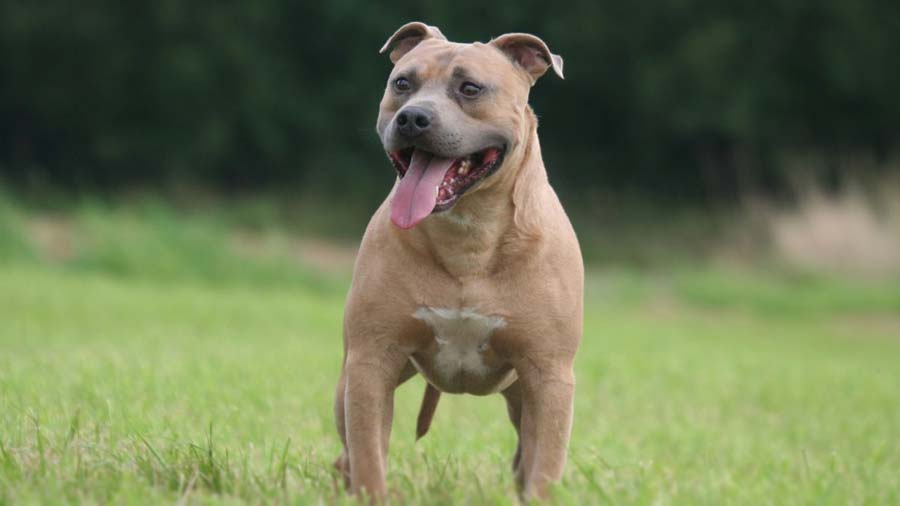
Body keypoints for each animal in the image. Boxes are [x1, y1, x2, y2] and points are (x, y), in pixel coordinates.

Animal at [332, 21, 584, 500]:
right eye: (402, 84)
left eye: (470, 89)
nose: (412, 117)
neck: (469, 235)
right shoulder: (371, 361)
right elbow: (370, 454)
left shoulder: (549, 376)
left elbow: (545, 467)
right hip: (348, 384)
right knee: (350, 450)